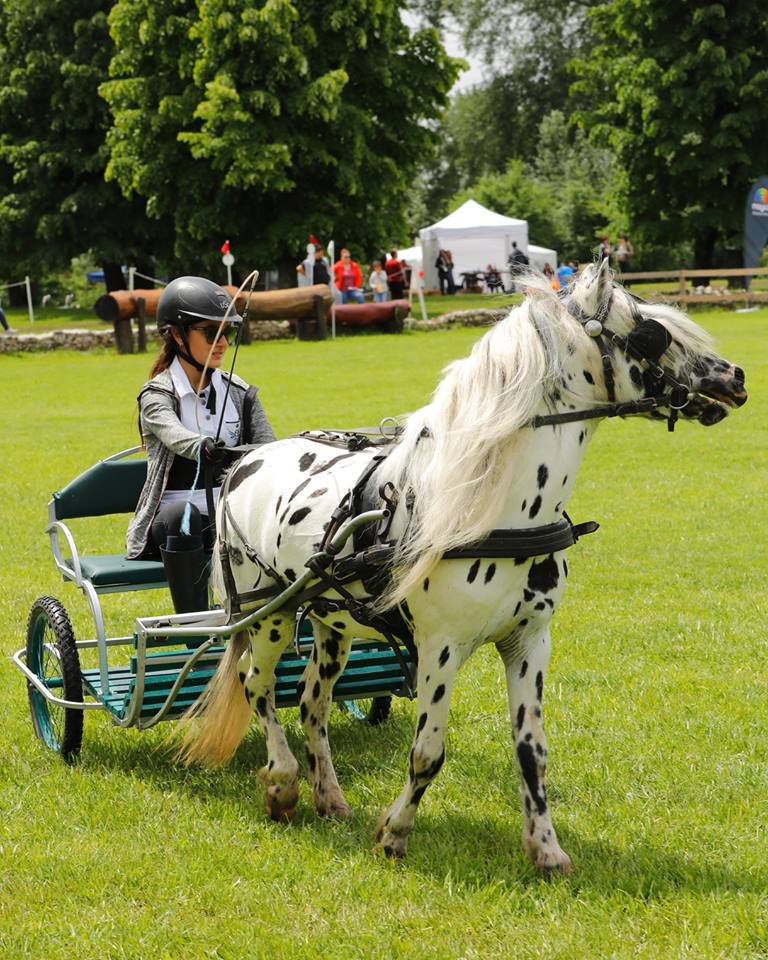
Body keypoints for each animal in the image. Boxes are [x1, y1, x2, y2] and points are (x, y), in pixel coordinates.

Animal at [178, 260, 747, 872]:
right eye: (651, 332)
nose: (736, 376)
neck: (491, 506)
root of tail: (245, 460)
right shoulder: (440, 648)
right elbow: (427, 752)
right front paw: (395, 834)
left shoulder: (529, 641)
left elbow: (532, 752)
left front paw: (546, 849)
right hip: (268, 612)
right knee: (257, 686)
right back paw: (283, 784)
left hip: (331, 622)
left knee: (312, 701)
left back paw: (329, 797)